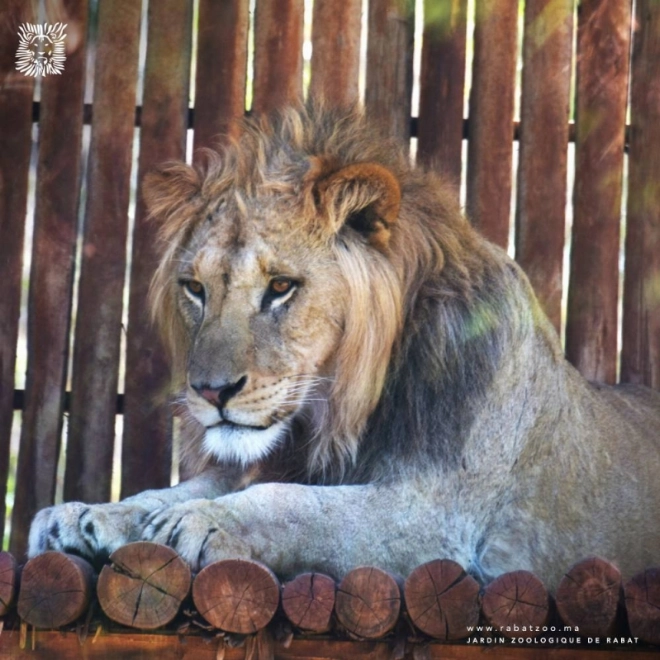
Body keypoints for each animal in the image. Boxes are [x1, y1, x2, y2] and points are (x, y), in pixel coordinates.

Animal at [29, 102, 660, 591]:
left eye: (281, 287)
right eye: (195, 289)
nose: (210, 392)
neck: (340, 412)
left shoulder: (438, 515)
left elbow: (294, 504)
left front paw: (201, 520)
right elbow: (167, 491)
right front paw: (83, 515)